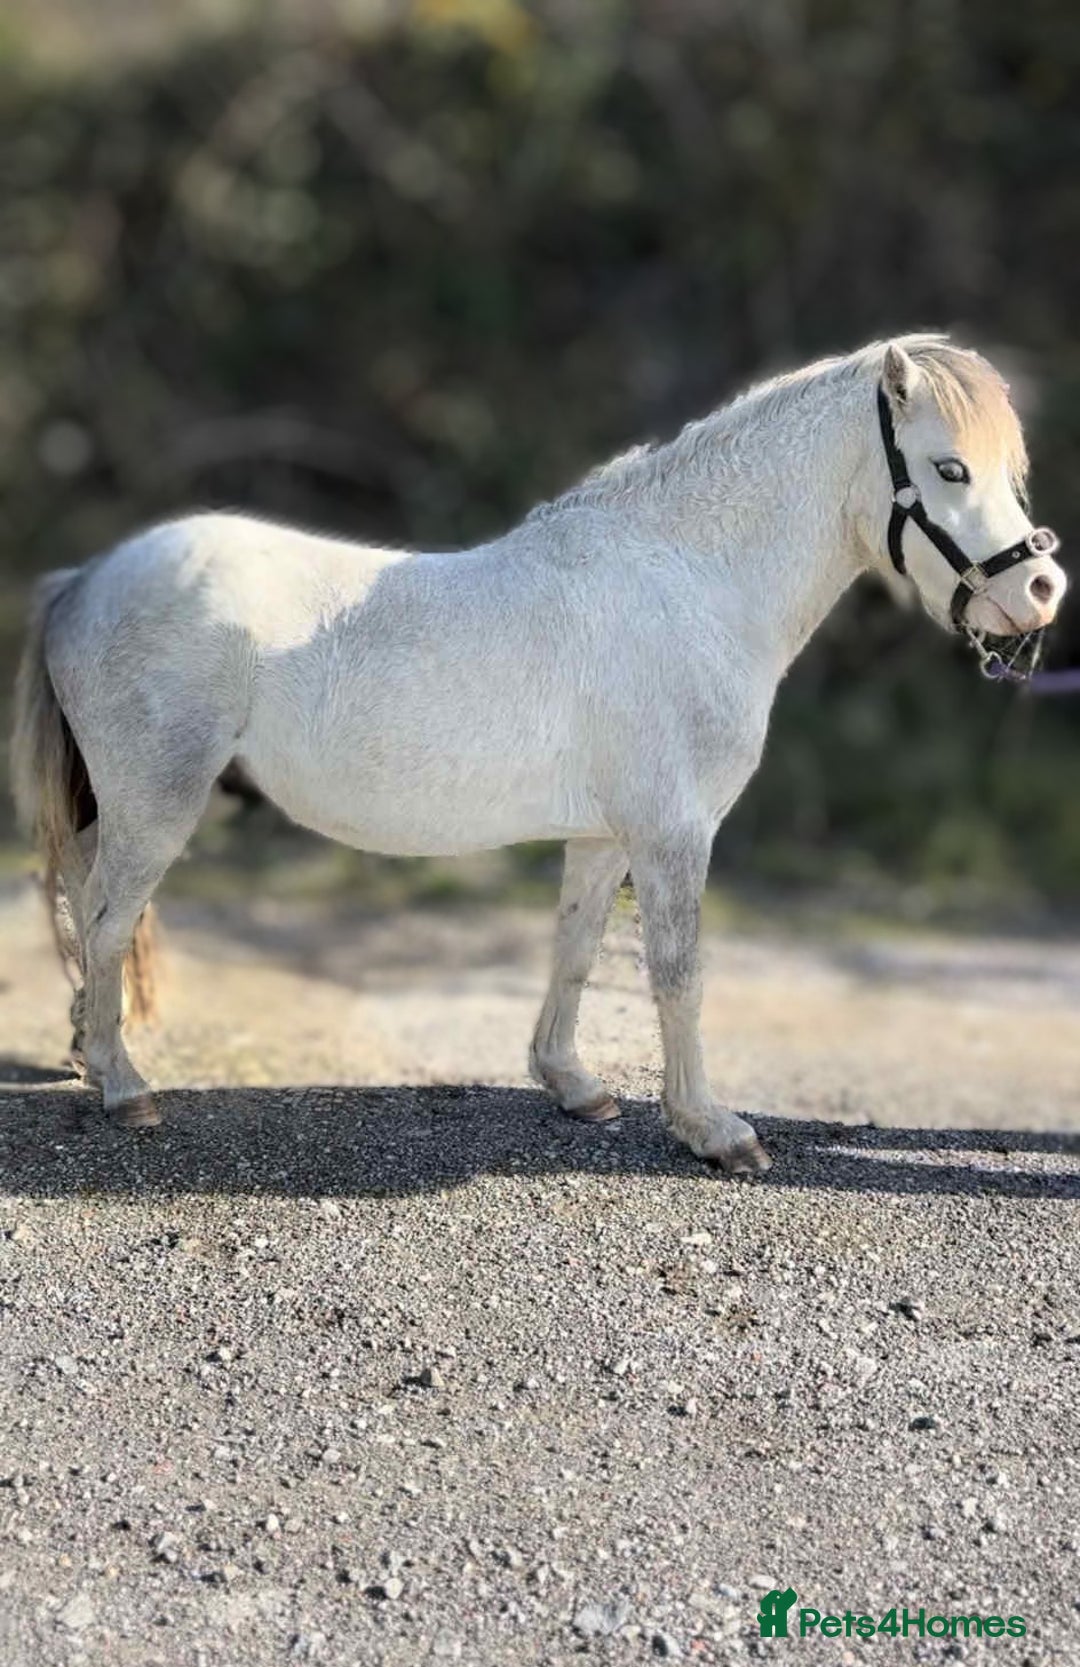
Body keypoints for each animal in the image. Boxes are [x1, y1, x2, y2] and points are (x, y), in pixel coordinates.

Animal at [11, 335, 1066, 1173]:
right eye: (949, 469)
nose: (1042, 592)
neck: (688, 581)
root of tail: (84, 579)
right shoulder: (674, 832)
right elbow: (678, 972)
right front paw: (711, 1129)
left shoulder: (604, 838)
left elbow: (575, 950)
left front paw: (573, 1085)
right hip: (158, 804)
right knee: (106, 923)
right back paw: (124, 1088)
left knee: (87, 915)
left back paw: (88, 1053)